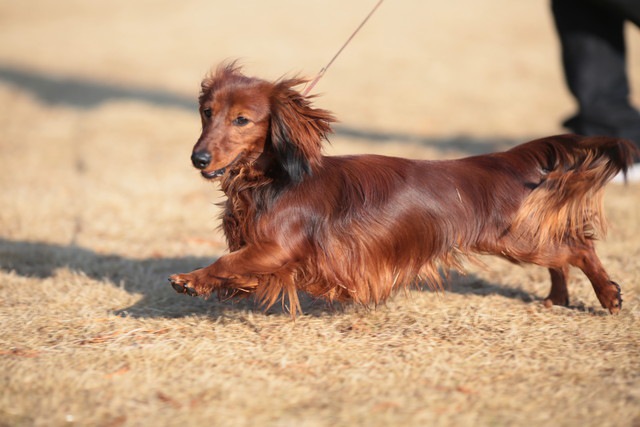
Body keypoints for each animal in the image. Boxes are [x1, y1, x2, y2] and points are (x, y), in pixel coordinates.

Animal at [168, 63, 636, 318]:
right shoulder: (264, 252)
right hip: (524, 238)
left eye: (242, 120)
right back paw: (556, 297)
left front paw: (189, 280)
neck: (270, 179)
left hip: (515, 238)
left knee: (577, 247)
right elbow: (235, 267)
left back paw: (608, 295)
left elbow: (227, 261)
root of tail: (499, 161)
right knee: (560, 251)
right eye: (206, 112)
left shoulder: (276, 248)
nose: (198, 159)